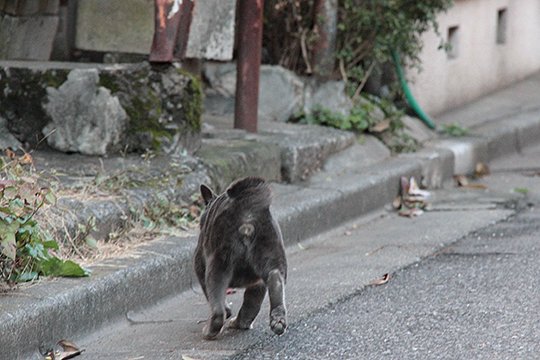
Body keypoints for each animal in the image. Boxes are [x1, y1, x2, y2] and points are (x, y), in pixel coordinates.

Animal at [193, 177, 286, 340]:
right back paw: (275, 321)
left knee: (217, 307)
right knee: (271, 283)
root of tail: (247, 217)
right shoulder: (257, 284)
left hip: (218, 263)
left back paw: (210, 331)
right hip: (270, 256)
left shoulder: (200, 265)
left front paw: (228, 311)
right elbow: (251, 304)